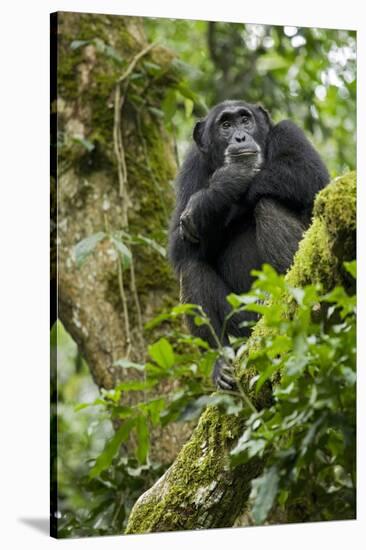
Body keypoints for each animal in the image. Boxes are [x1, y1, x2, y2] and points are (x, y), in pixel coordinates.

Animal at [167, 100, 330, 392]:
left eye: (245, 120)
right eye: (225, 125)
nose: (240, 137)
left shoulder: (290, 132)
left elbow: (309, 175)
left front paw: (214, 194)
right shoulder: (191, 167)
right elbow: (179, 245)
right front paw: (225, 184)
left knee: (267, 205)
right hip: (243, 320)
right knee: (192, 268)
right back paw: (221, 363)